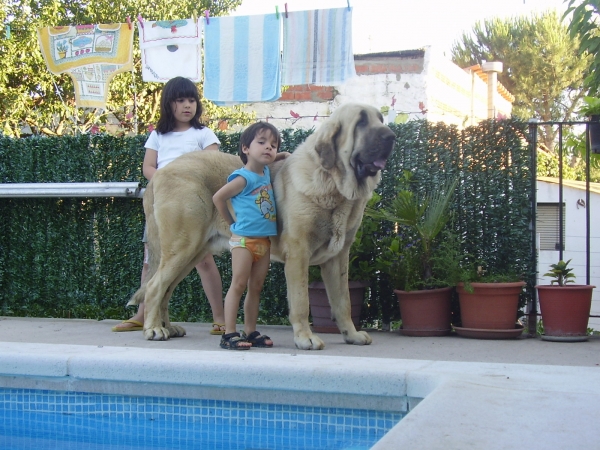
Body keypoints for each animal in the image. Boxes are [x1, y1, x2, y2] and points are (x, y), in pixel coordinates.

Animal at [129, 103, 396, 350]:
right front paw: (306, 338)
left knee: (165, 289)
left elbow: (343, 301)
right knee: (154, 287)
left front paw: (351, 335)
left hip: (191, 253)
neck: (332, 182)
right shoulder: (298, 254)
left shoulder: (338, 258)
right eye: (361, 122)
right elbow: (301, 301)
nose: (391, 136)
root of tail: (160, 173)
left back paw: (167, 327)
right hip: (183, 246)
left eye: (380, 119)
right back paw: (153, 329)